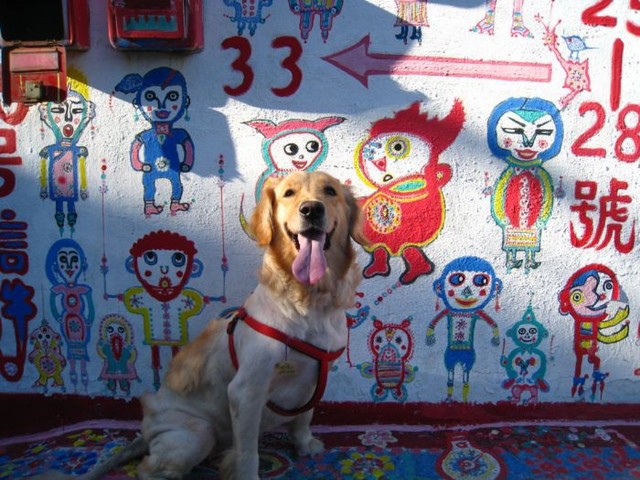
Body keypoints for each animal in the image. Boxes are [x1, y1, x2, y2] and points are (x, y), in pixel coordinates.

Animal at [36, 171, 367, 480]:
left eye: (330, 191)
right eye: (289, 193)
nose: (311, 209)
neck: (311, 300)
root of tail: (145, 431)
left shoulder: (315, 376)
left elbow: (304, 417)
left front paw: (304, 445)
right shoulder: (246, 391)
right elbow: (248, 454)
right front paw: (249, 472)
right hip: (197, 432)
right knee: (148, 469)